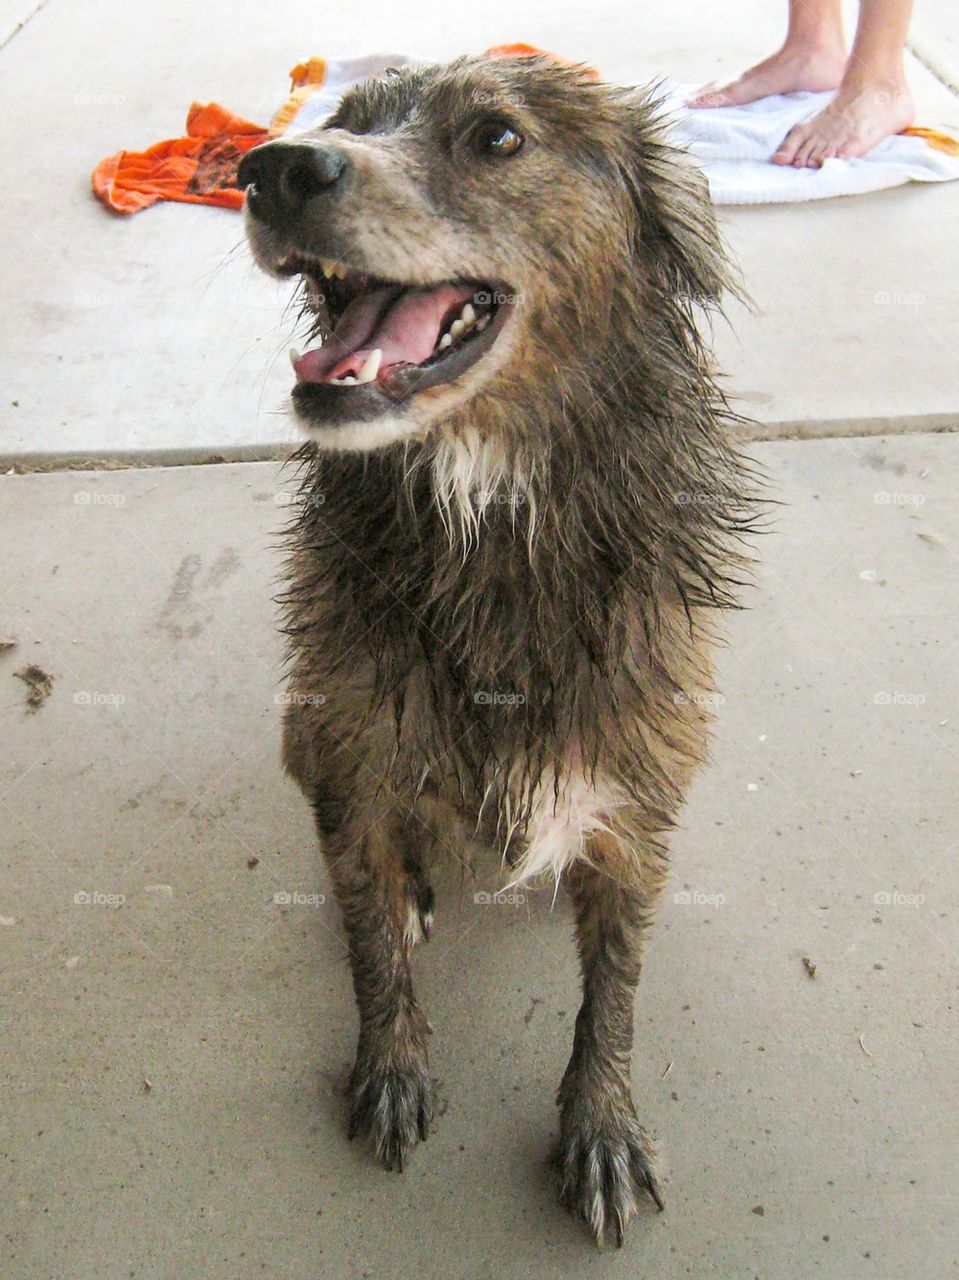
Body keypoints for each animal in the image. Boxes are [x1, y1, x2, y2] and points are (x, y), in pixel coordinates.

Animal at [238, 55, 747, 1244]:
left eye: (499, 138)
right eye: (344, 120)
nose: (271, 168)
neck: (489, 514)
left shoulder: (640, 793)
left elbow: (614, 989)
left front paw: (601, 1127)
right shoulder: (352, 748)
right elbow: (367, 939)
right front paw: (389, 1066)